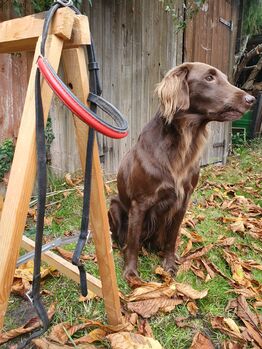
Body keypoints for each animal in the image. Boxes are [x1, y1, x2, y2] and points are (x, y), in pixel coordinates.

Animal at [108, 61, 254, 280]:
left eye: (225, 78)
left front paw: (169, 264)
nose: (251, 99)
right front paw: (131, 272)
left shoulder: (182, 202)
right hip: (114, 205)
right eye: (209, 78)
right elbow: (133, 242)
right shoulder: (139, 204)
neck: (183, 144)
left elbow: (172, 238)